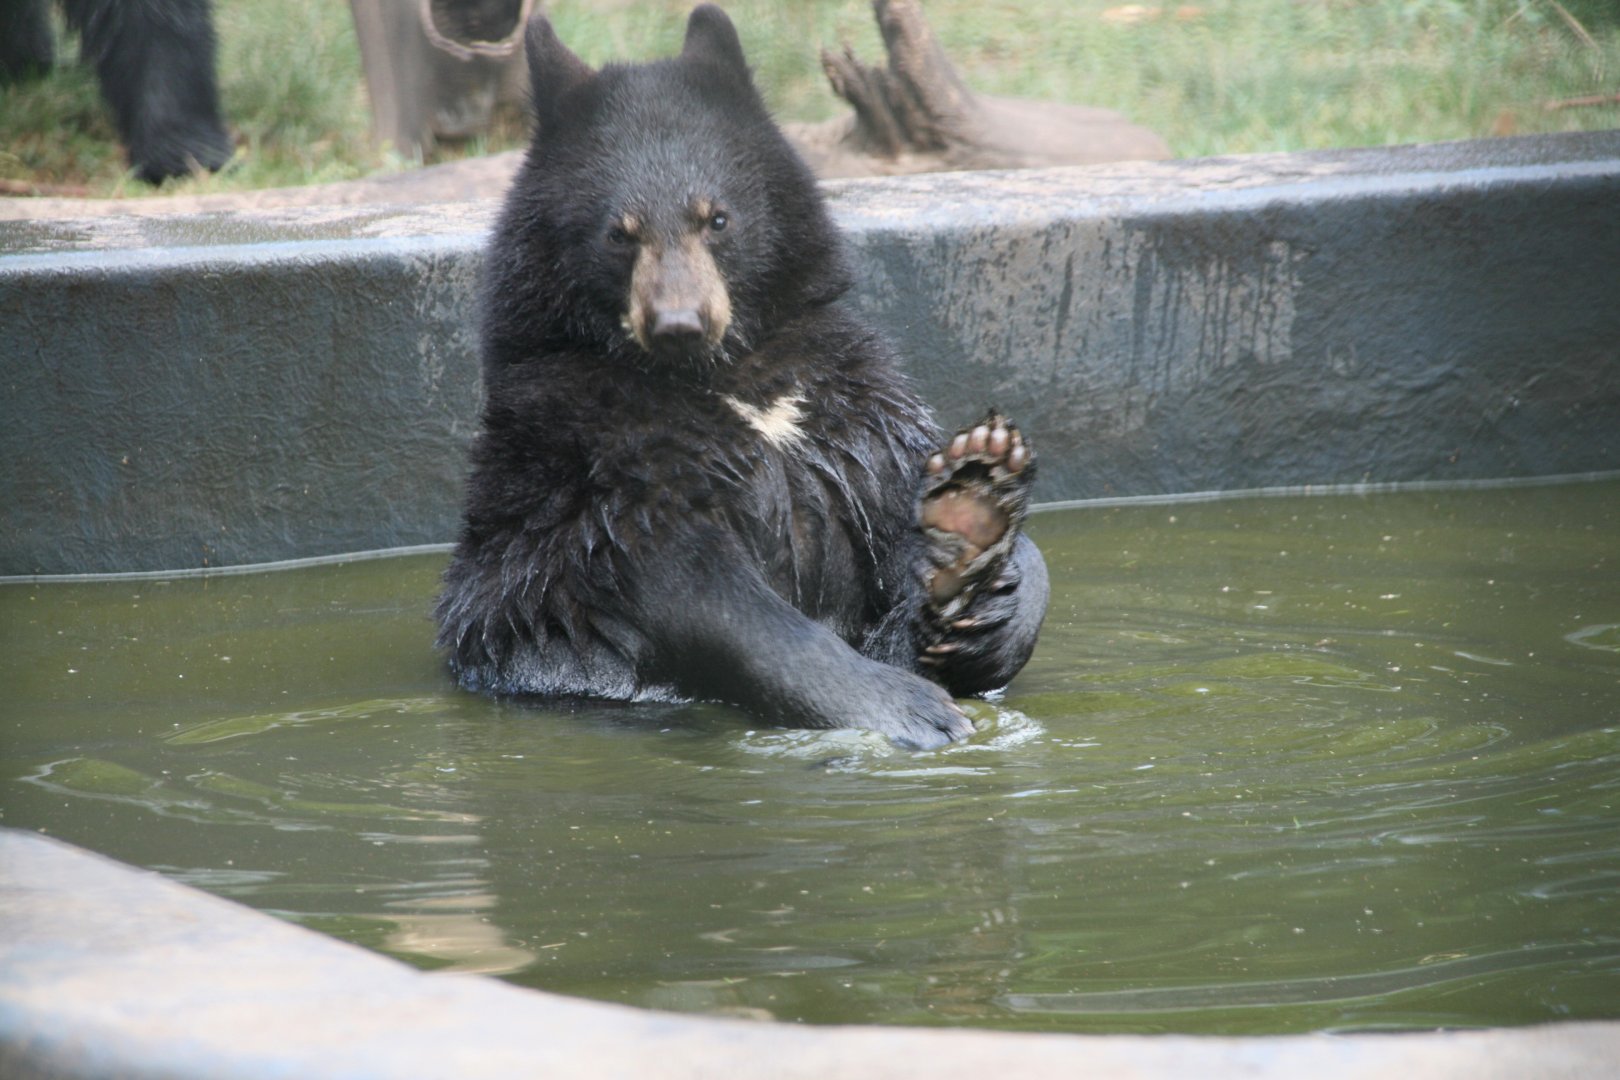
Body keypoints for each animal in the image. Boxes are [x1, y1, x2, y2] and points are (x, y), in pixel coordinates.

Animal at [434, 5, 1049, 749]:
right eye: (619, 233)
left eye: (717, 218)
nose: (678, 322)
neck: (728, 374)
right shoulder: (596, 452)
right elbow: (693, 586)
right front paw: (908, 707)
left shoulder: (848, 407)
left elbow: (901, 507)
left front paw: (973, 511)